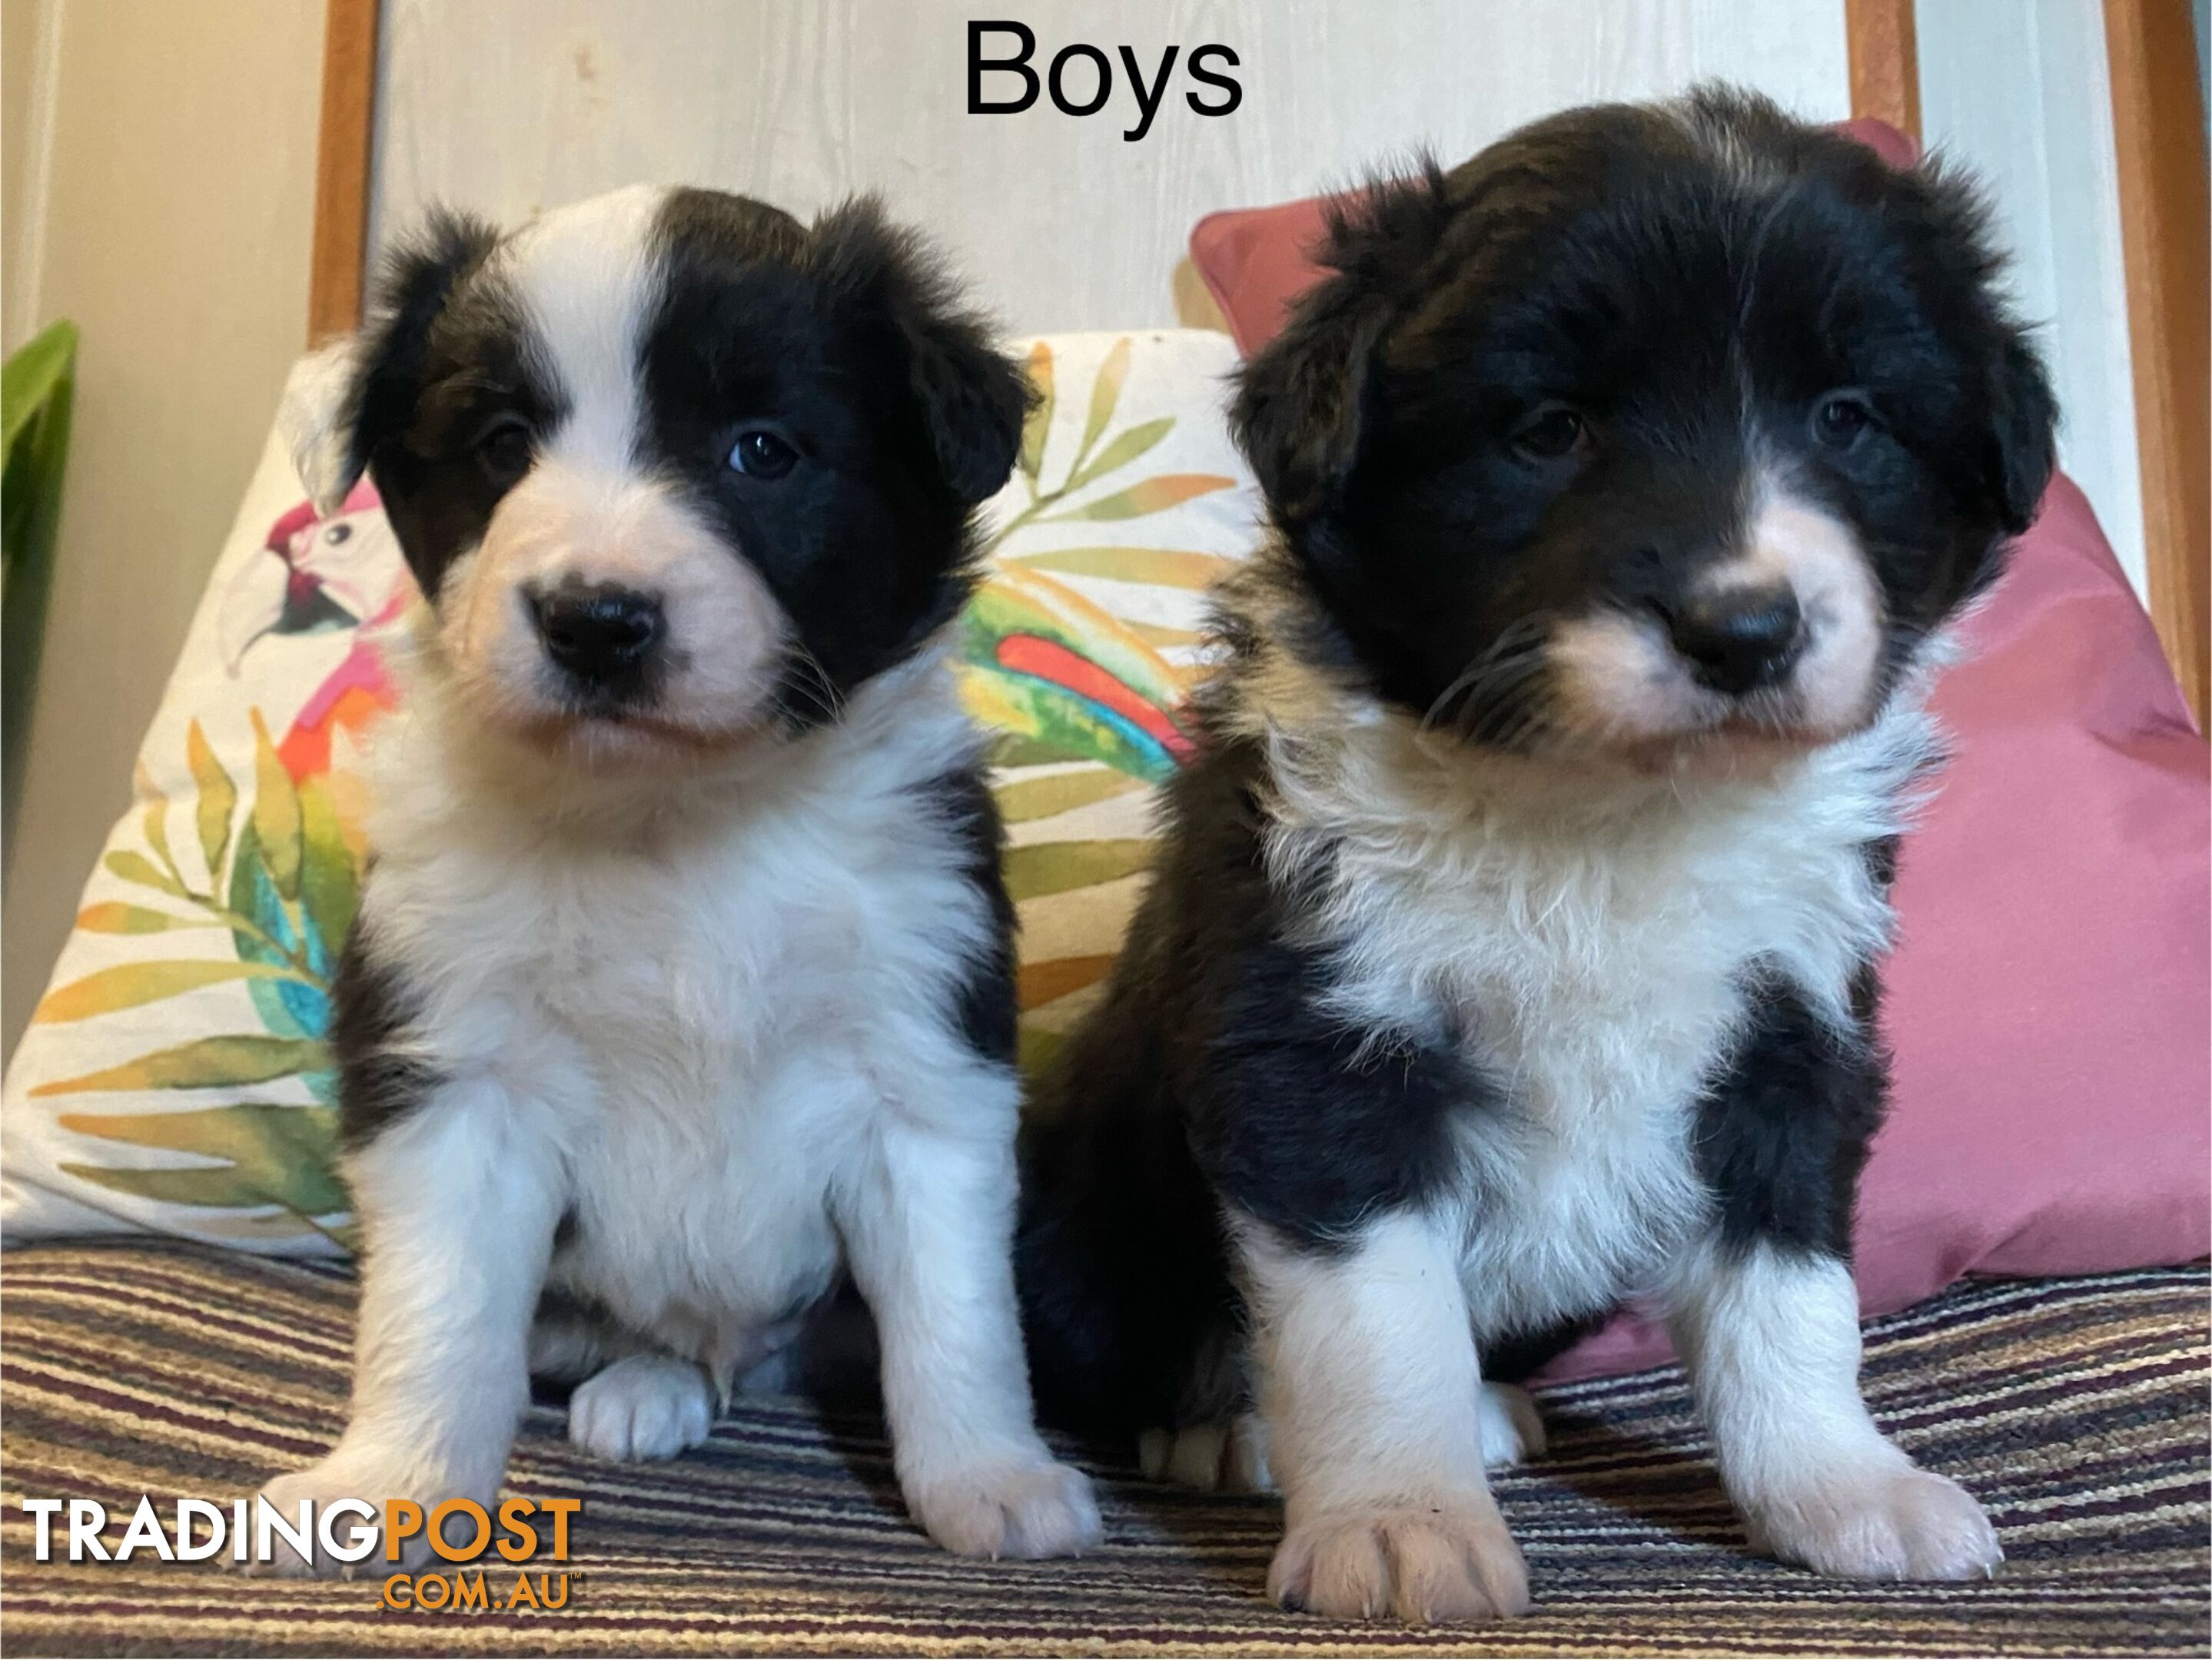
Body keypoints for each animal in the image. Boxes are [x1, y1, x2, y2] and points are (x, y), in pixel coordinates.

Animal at [261, 184, 1106, 1573]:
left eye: (762, 451)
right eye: (501, 444)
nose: (596, 620)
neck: (674, 820)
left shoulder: (923, 1067)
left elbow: (957, 1318)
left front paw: (990, 1479)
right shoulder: (458, 1073)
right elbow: (435, 1313)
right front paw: (391, 1484)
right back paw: (643, 1384)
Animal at [1017, 90, 2052, 1626]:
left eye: (1848, 418)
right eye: (1549, 431)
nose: (1741, 630)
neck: (1605, 815)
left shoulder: (1795, 1028)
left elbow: (1794, 1293)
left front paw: (1839, 1487)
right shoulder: (1314, 1040)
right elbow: (1373, 1318)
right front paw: (1398, 1520)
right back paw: (1225, 1427)